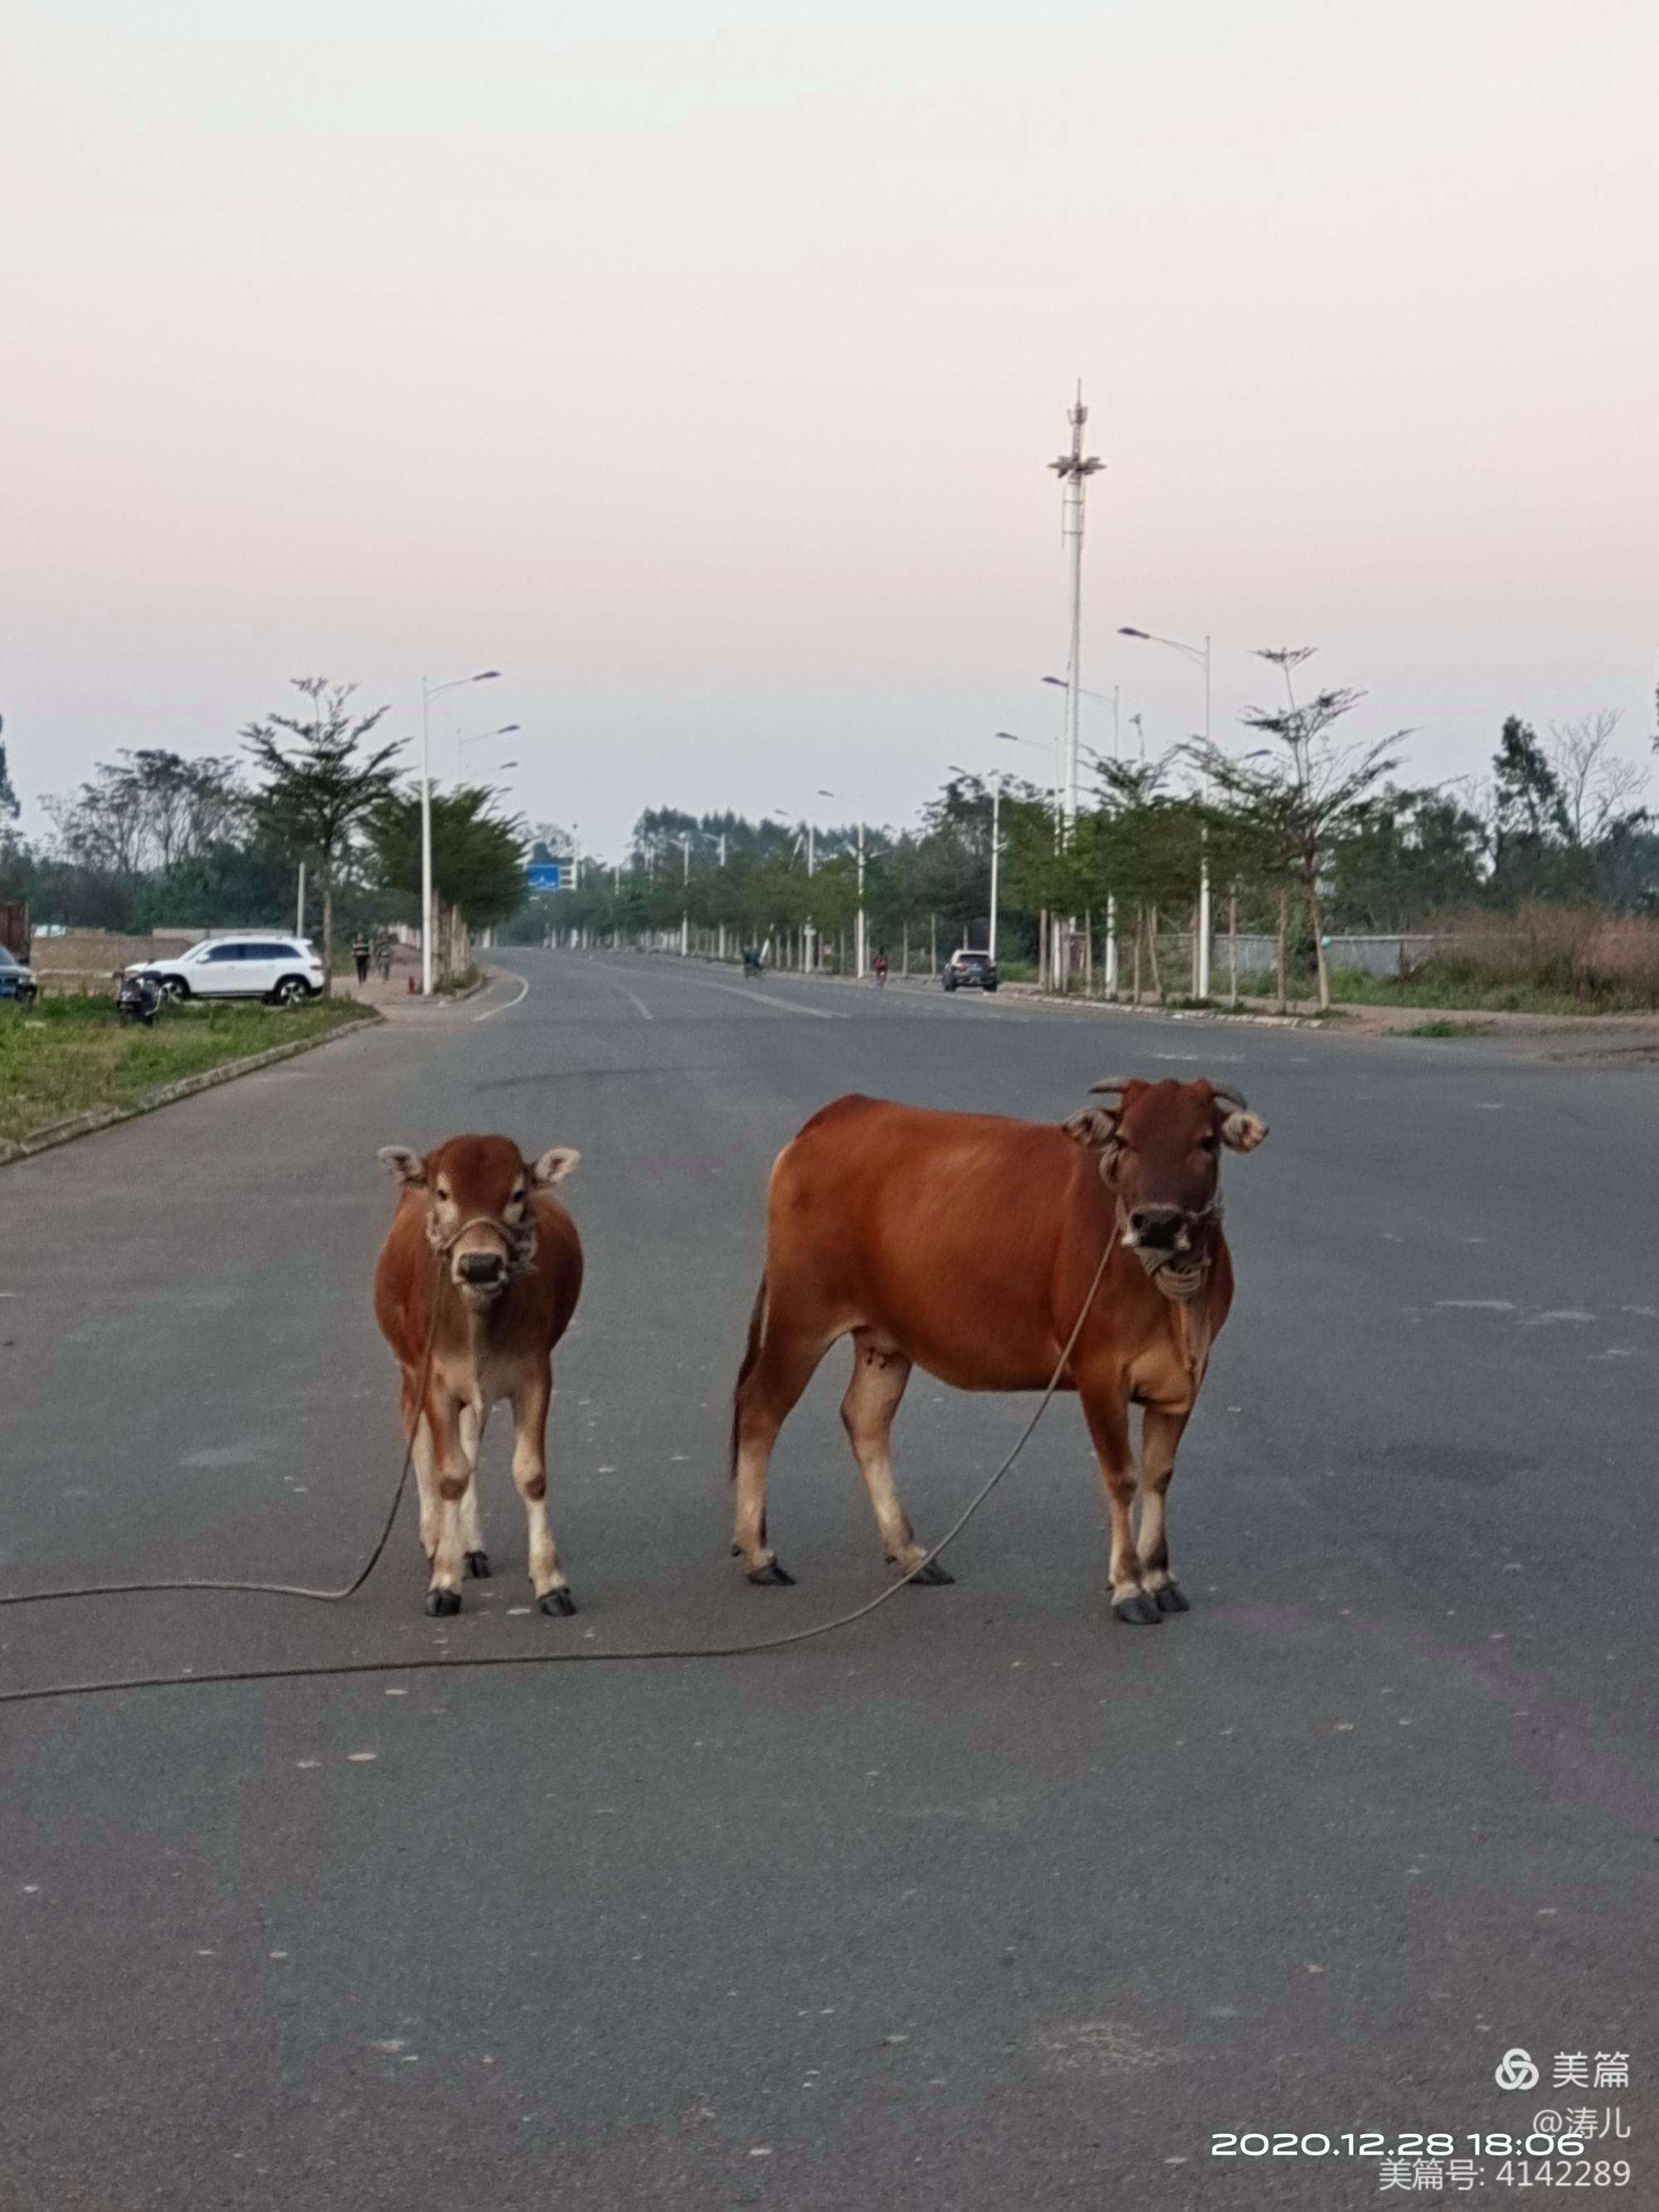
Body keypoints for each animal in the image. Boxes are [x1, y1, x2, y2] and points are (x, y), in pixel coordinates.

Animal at [376, 1132, 584, 1619]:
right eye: (442, 1192)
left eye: (518, 1194)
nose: (481, 1265)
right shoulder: (434, 1381)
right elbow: (448, 1473)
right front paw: (444, 1583)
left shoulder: (534, 1378)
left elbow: (529, 1473)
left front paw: (550, 1582)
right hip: (409, 1372)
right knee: (419, 1442)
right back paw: (436, 1538)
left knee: (470, 1442)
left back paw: (470, 1547)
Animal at [730, 1075, 1274, 1619]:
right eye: (1123, 1141)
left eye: (1206, 1142)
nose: (1157, 1223)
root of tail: (837, 1114)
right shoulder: (1098, 1370)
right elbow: (1121, 1476)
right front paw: (1129, 1585)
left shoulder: (1186, 1376)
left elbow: (1160, 1473)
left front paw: (1159, 1576)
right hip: (800, 1317)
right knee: (759, 1409)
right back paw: (759, 1554)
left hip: (885, 1338)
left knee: (865, 1419)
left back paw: (910, 1553)